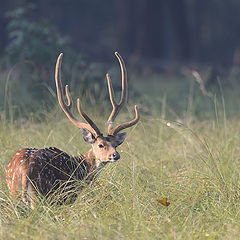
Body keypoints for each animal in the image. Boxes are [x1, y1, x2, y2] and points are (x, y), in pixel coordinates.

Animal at [5, 52, 140, 208]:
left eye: (116, 144)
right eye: (101, 145)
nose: (115, 155)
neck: (80, 170)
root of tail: (24, 170)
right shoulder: (66, 197)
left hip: (13, 193)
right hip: (41, 195)